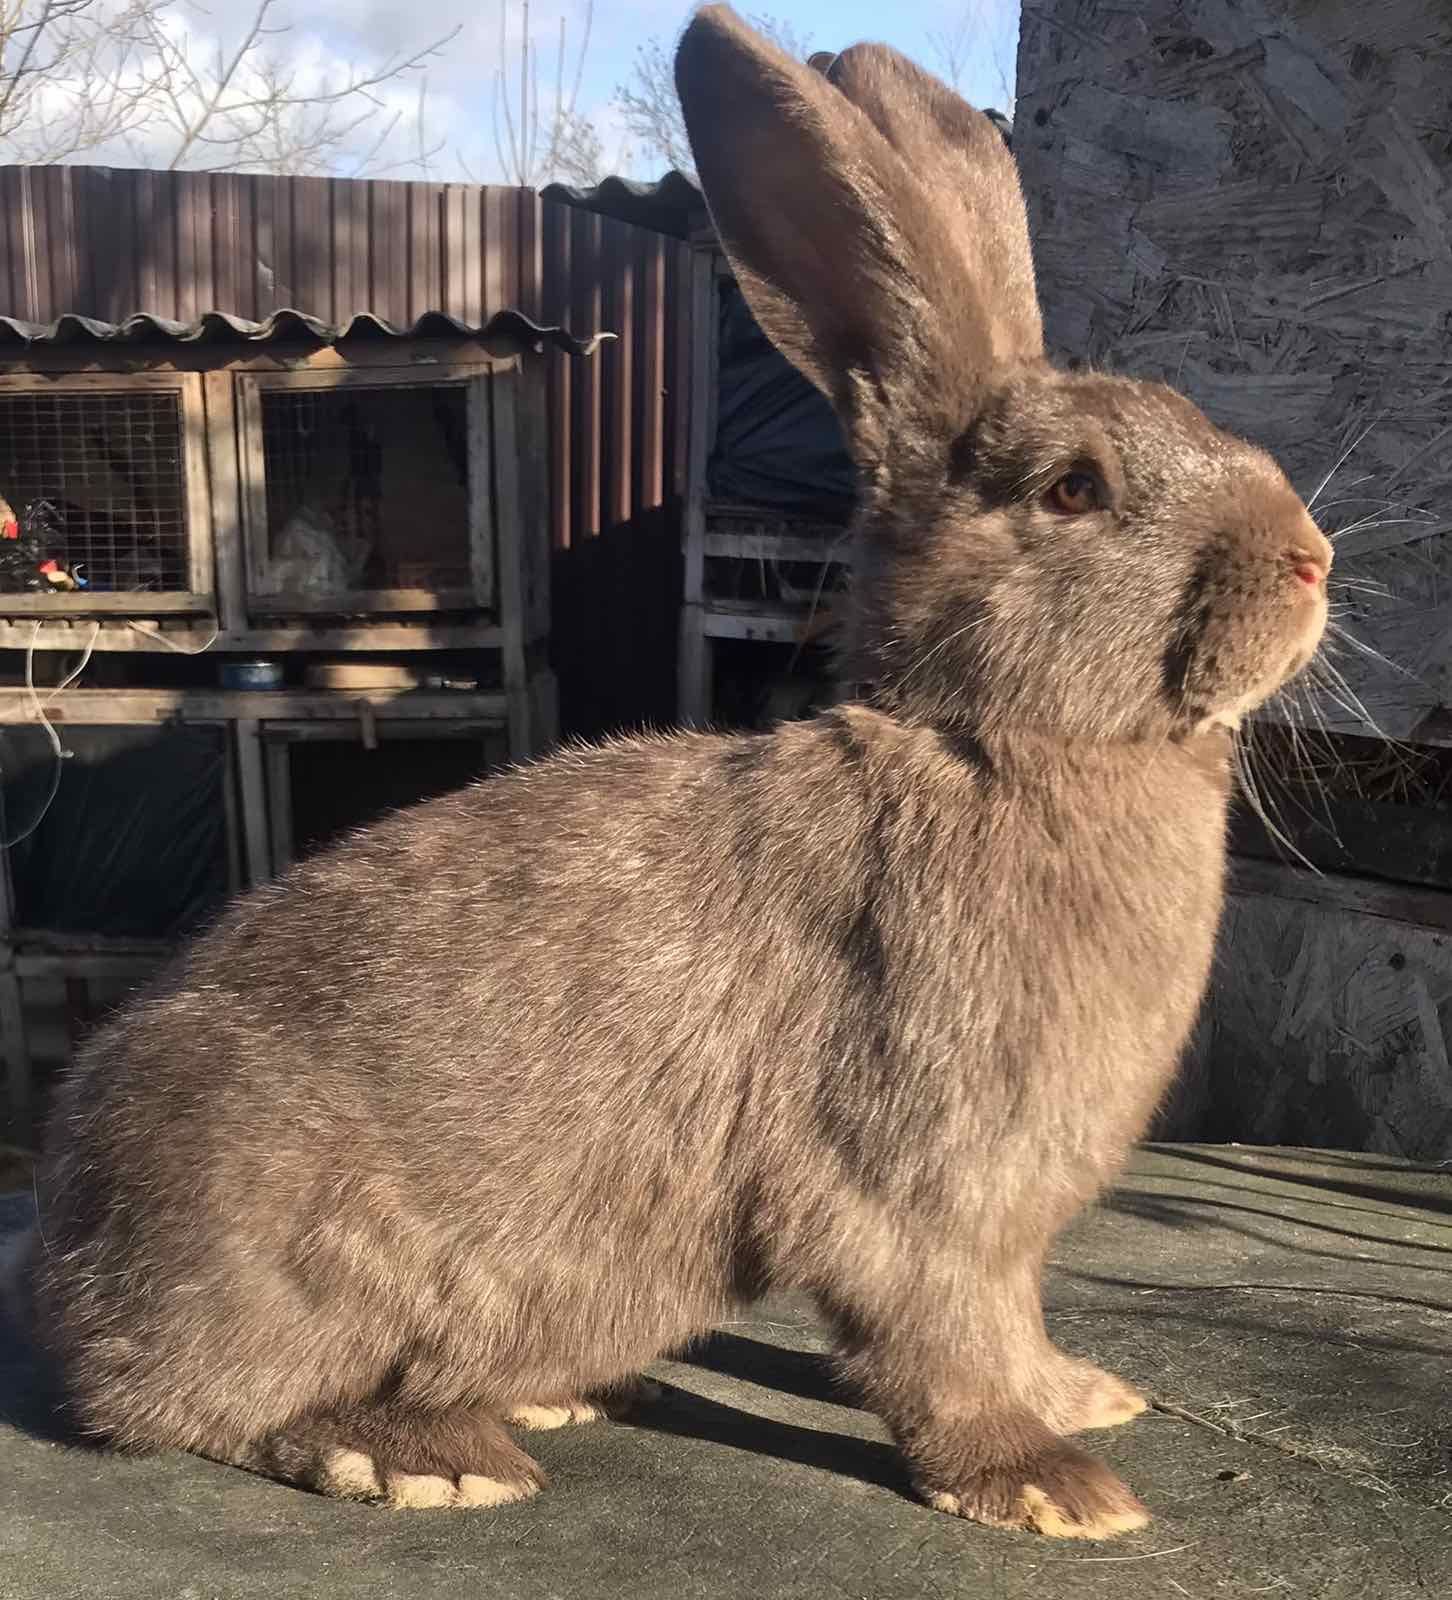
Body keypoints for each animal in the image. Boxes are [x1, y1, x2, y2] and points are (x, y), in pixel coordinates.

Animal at [8, 6, 1324, 1542]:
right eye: (1074, 489)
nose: (1312, 559)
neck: (987, 740)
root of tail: (68, 1249)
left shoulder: (1000, 1232)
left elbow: (1013, 1326)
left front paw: (1084, 1398)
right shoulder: (917, 1196)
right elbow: (942, 1342)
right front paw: (1050, 1483)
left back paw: (553, 1394)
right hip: (267, 1243)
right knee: (195, 1408)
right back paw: (422, 1454)